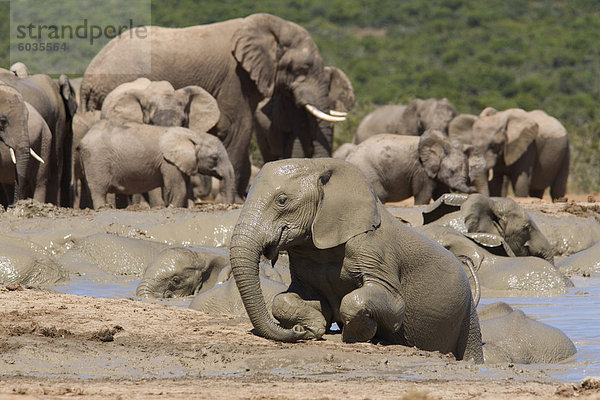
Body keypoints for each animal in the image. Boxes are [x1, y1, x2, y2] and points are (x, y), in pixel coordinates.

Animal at [79, 119, 237, 208]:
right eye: (215, 158)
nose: (227, 204)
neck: (192, 134)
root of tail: (83, 138)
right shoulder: (168, 161)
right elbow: (179, 190)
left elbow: (187, 191)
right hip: (97, 160)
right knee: (99, 190)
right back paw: (102, 208)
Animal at [229, 157, 482, 362]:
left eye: (282, 200)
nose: (300, 331)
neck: (320, 164)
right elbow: (286, 300)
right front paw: (314, 326)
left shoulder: (374, 249)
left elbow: (386, 303)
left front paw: (357, 334)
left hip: (468, 320)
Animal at [344, 131, 486, 205]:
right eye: (452, 171)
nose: (474, 190)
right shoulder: (421, 169)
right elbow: (423, 194)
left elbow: (441, 193)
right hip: (368, 171)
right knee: (380, 195)